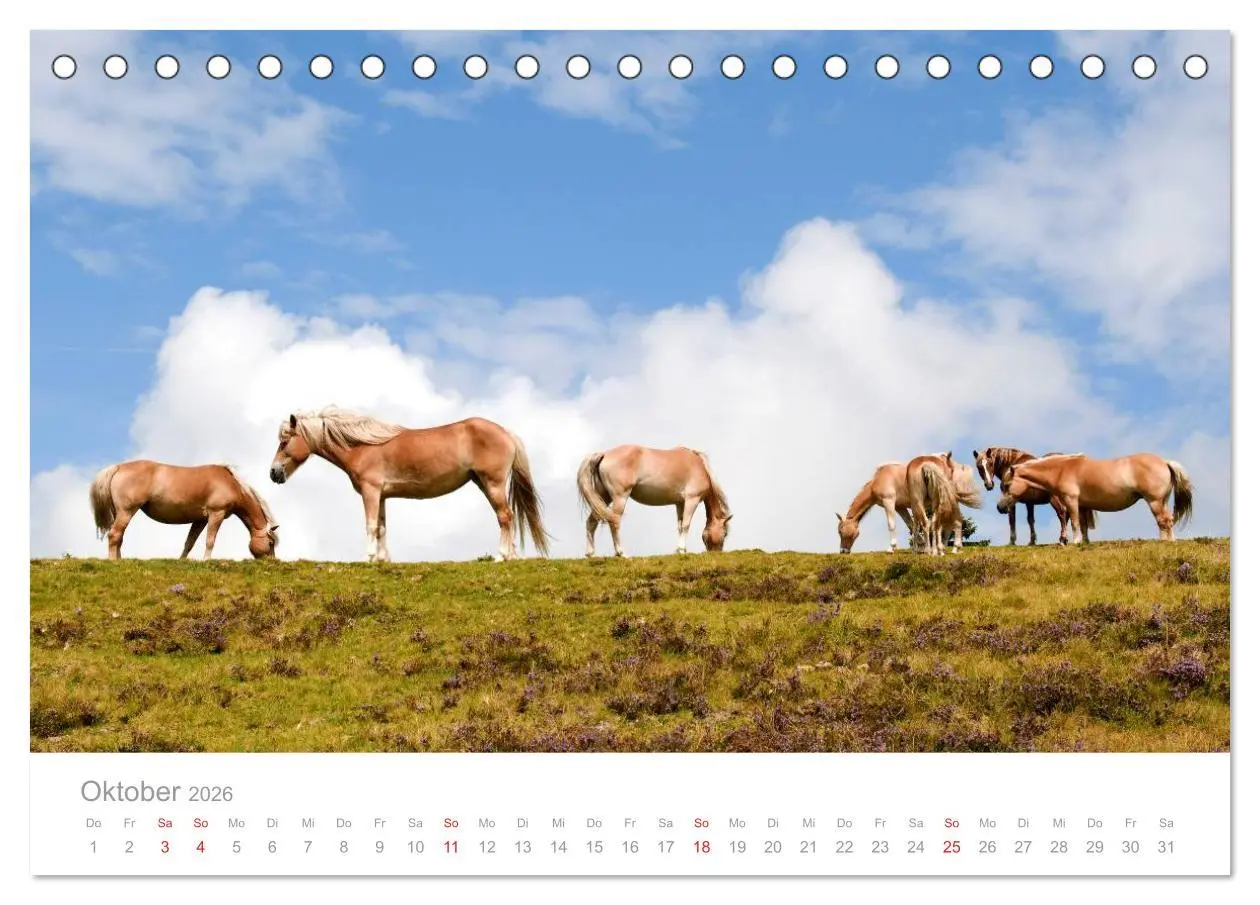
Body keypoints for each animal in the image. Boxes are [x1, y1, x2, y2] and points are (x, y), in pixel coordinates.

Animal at [89, 461, 279, 560]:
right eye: (271, 543)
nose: (272, 562)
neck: (231, 483)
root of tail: (118, 467)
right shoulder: (216, 514)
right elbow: (210, 541)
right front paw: (206, 561)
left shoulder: (200, 520)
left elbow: (189, 543)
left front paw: (182, 561)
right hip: (127, 511)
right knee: (114, 535)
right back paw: (113, 561)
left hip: (120, 513)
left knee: (119, 537)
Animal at [270, 407, 549, 562]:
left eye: (284, 443)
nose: (273, 473)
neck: (363, 446)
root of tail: (506, 433)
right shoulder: (381, 495)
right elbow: (382, 527)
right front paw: (383, 559)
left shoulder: (370, 492)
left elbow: (370, 525)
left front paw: (367, 558)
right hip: (483, 483)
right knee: (506, 517)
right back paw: (511, 556)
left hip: (493, 484)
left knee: (505, 516)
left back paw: (501, 556)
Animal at [576, 445, 732, 557]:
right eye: (725, 533)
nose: (717, 553)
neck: (699, 466)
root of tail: (604, 454)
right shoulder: (691, 500)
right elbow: (686, 525)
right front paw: (682, 550)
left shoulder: (680, 504)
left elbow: (680, 526)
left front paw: (679, 551)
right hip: (619, 498)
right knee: (614, 521)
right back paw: (621, 553)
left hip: (603, 498)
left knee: (592, 522)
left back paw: (590, 554)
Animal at [997, 453, 1192, 543]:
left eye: (1006, 485)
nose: (1000, 507)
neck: (1062, 469)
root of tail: (1164, 462)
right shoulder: (1083, 505)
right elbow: (1083, 526)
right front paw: (1084, 542)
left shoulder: (1071, 501)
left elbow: (1074, 523)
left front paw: (1074, 542)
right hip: (1163, 501)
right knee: (1168, 520)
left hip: (1154, 501)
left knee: (1163, 521)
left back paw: (1164, 541)